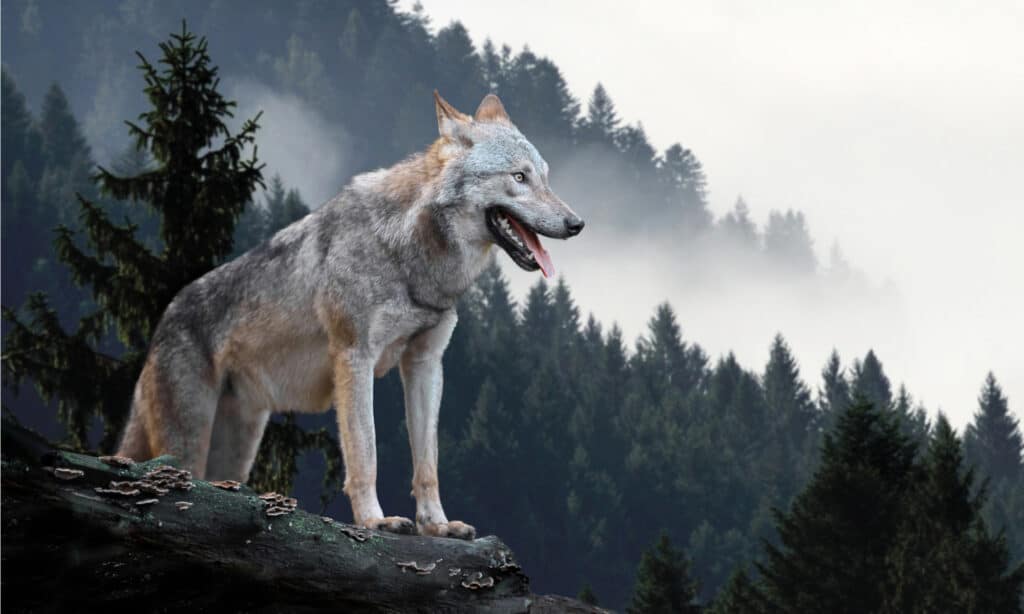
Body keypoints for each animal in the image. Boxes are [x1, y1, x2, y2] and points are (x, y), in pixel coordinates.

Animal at [117, 90, 585, 536]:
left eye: (545, 177)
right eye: (519, 177)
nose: (577, 224)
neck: (410, 254)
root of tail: (163, 321)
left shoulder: (426, 363)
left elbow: (427, 463)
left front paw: (436, 525)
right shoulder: (355, 357)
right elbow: (366, 453)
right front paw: (375, 521)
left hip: (236, 451)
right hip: (188, 444)